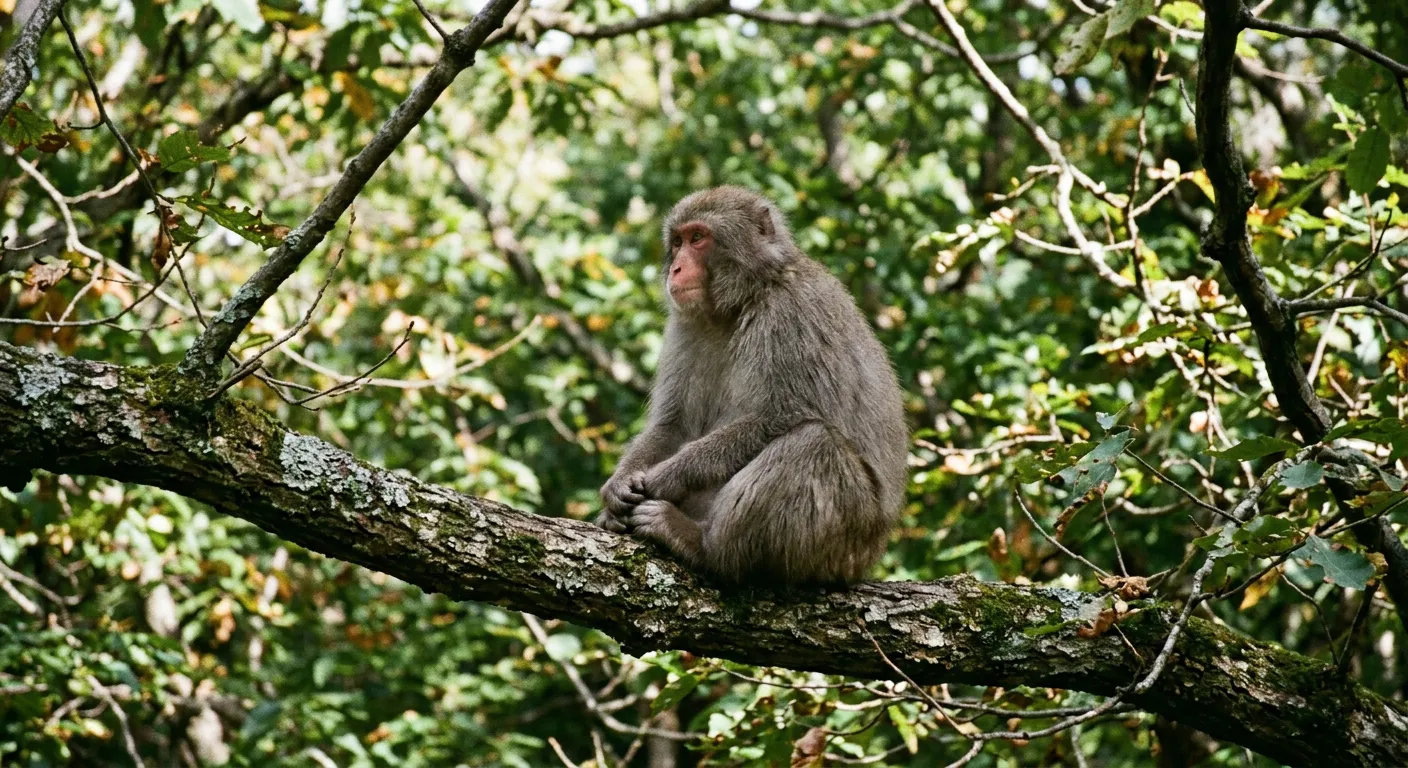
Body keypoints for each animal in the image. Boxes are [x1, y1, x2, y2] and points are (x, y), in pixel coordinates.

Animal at [596, 186, 908, 586]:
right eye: (677, 241)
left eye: (698, 238)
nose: (677, 268)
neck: (743, 298)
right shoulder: (686, 326)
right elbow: (673, 425)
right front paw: (619, 485)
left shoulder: (789, 313)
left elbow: (781, 414)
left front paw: (666, 476)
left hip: (847, 540)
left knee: (813, 443)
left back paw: (703, 546)